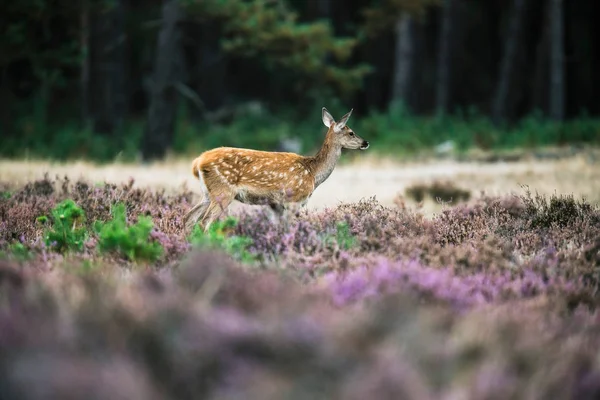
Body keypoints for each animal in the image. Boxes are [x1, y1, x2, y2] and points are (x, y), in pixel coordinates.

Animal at [184, 107, 370, 231]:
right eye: (351, 132)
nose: (365, 142)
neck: (312, 173)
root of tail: (198, 161)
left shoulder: (275, 204)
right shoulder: (293, 199)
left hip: (208, 193)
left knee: (189, 218)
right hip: (223, 190)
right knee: (205, 221)